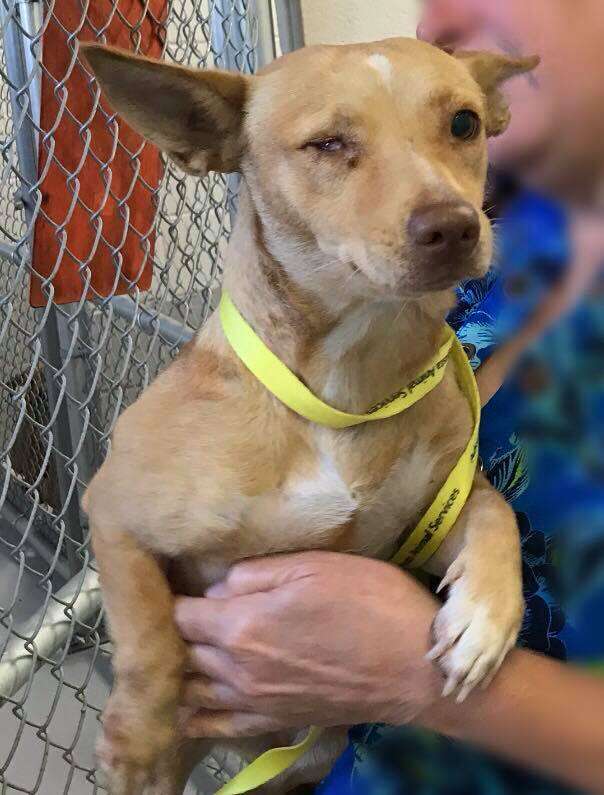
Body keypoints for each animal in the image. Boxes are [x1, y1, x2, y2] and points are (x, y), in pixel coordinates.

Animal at [81, 37, 536, 795]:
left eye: (464, 123)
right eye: (327, 143)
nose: (453, 226)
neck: (343, 393)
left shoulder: (426, 521)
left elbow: (494, 508)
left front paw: (486, 616)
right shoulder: (112, 510)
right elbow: (148, 635)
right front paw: (138, 727)